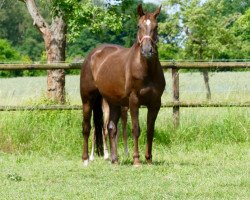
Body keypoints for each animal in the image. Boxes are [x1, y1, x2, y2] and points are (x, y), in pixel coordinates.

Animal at [80, 4, 166, 166]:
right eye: (139, 26)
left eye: (156, 26)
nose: (147, 50)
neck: (146, 70)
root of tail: (92, 55)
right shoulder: (134, 101)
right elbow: (136, 129)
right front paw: (136, 160)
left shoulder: (155, 103)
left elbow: (150, 130)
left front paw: (149, 159)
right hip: (88, 99)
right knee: (87, 127)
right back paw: (86, 159)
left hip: (113, 102)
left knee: (111, 127)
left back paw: (114, 160)